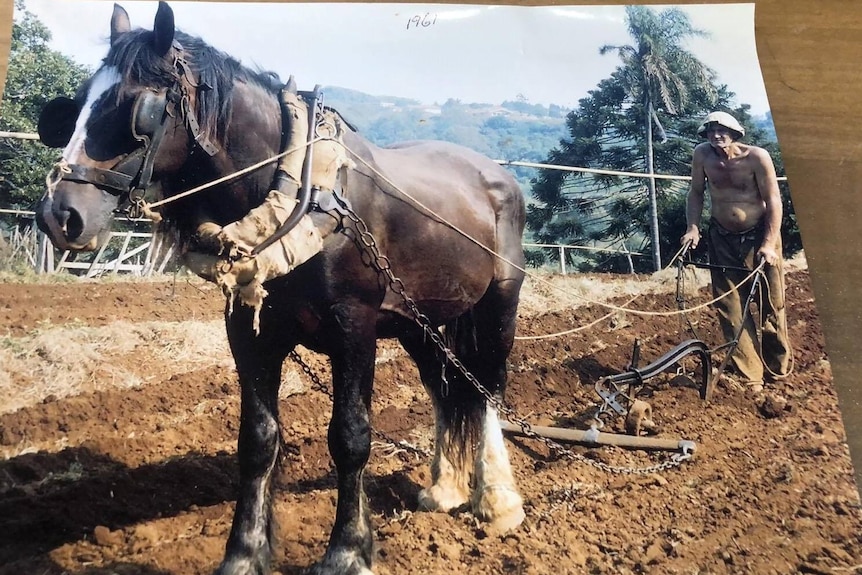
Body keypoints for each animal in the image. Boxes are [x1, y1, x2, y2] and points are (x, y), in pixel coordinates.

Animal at [33, 2, 528, 572]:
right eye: (76, 107)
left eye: (137, 108)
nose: (59, 216)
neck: (304, 190)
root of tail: (495, 174)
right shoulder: (250, 332)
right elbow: (258, 441)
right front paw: (245, 552)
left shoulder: (354, 327)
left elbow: (351, 437)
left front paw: (347, 549)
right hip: (418, 320)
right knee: (444, 389)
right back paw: (444, 489)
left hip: (497, 305)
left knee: (487, 387)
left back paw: (497, 500)